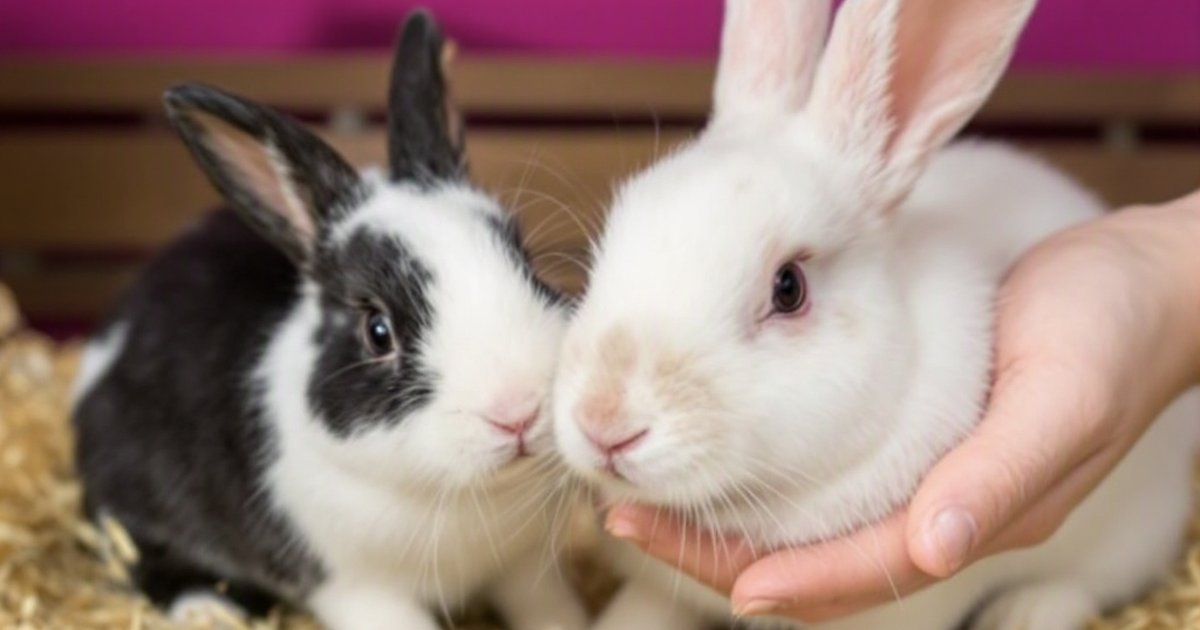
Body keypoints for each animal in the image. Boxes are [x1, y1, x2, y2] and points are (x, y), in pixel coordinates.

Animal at [71, 11, 587, 630]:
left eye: (525, 264)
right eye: (377, 331)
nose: (517, 411)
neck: (465, 493)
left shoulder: (526, 568)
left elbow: (556, 610)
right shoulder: (359, 590)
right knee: (143, 557)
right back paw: (207, 610)